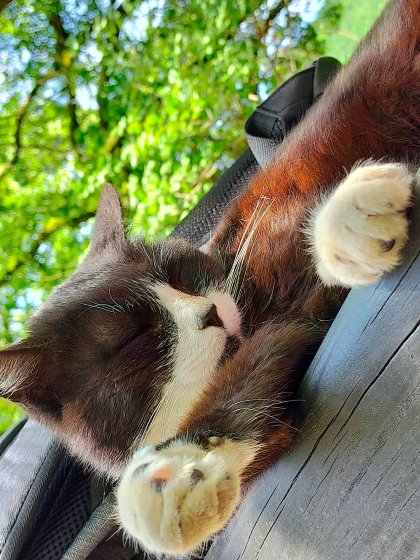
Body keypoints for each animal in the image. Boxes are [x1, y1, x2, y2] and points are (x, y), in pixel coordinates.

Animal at [0, 1, 418, 556]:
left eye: (179, 272)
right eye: (134, 338)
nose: (211, 312)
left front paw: (350, 220)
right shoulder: (280, 340)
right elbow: (263, 377)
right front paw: (181, 472)